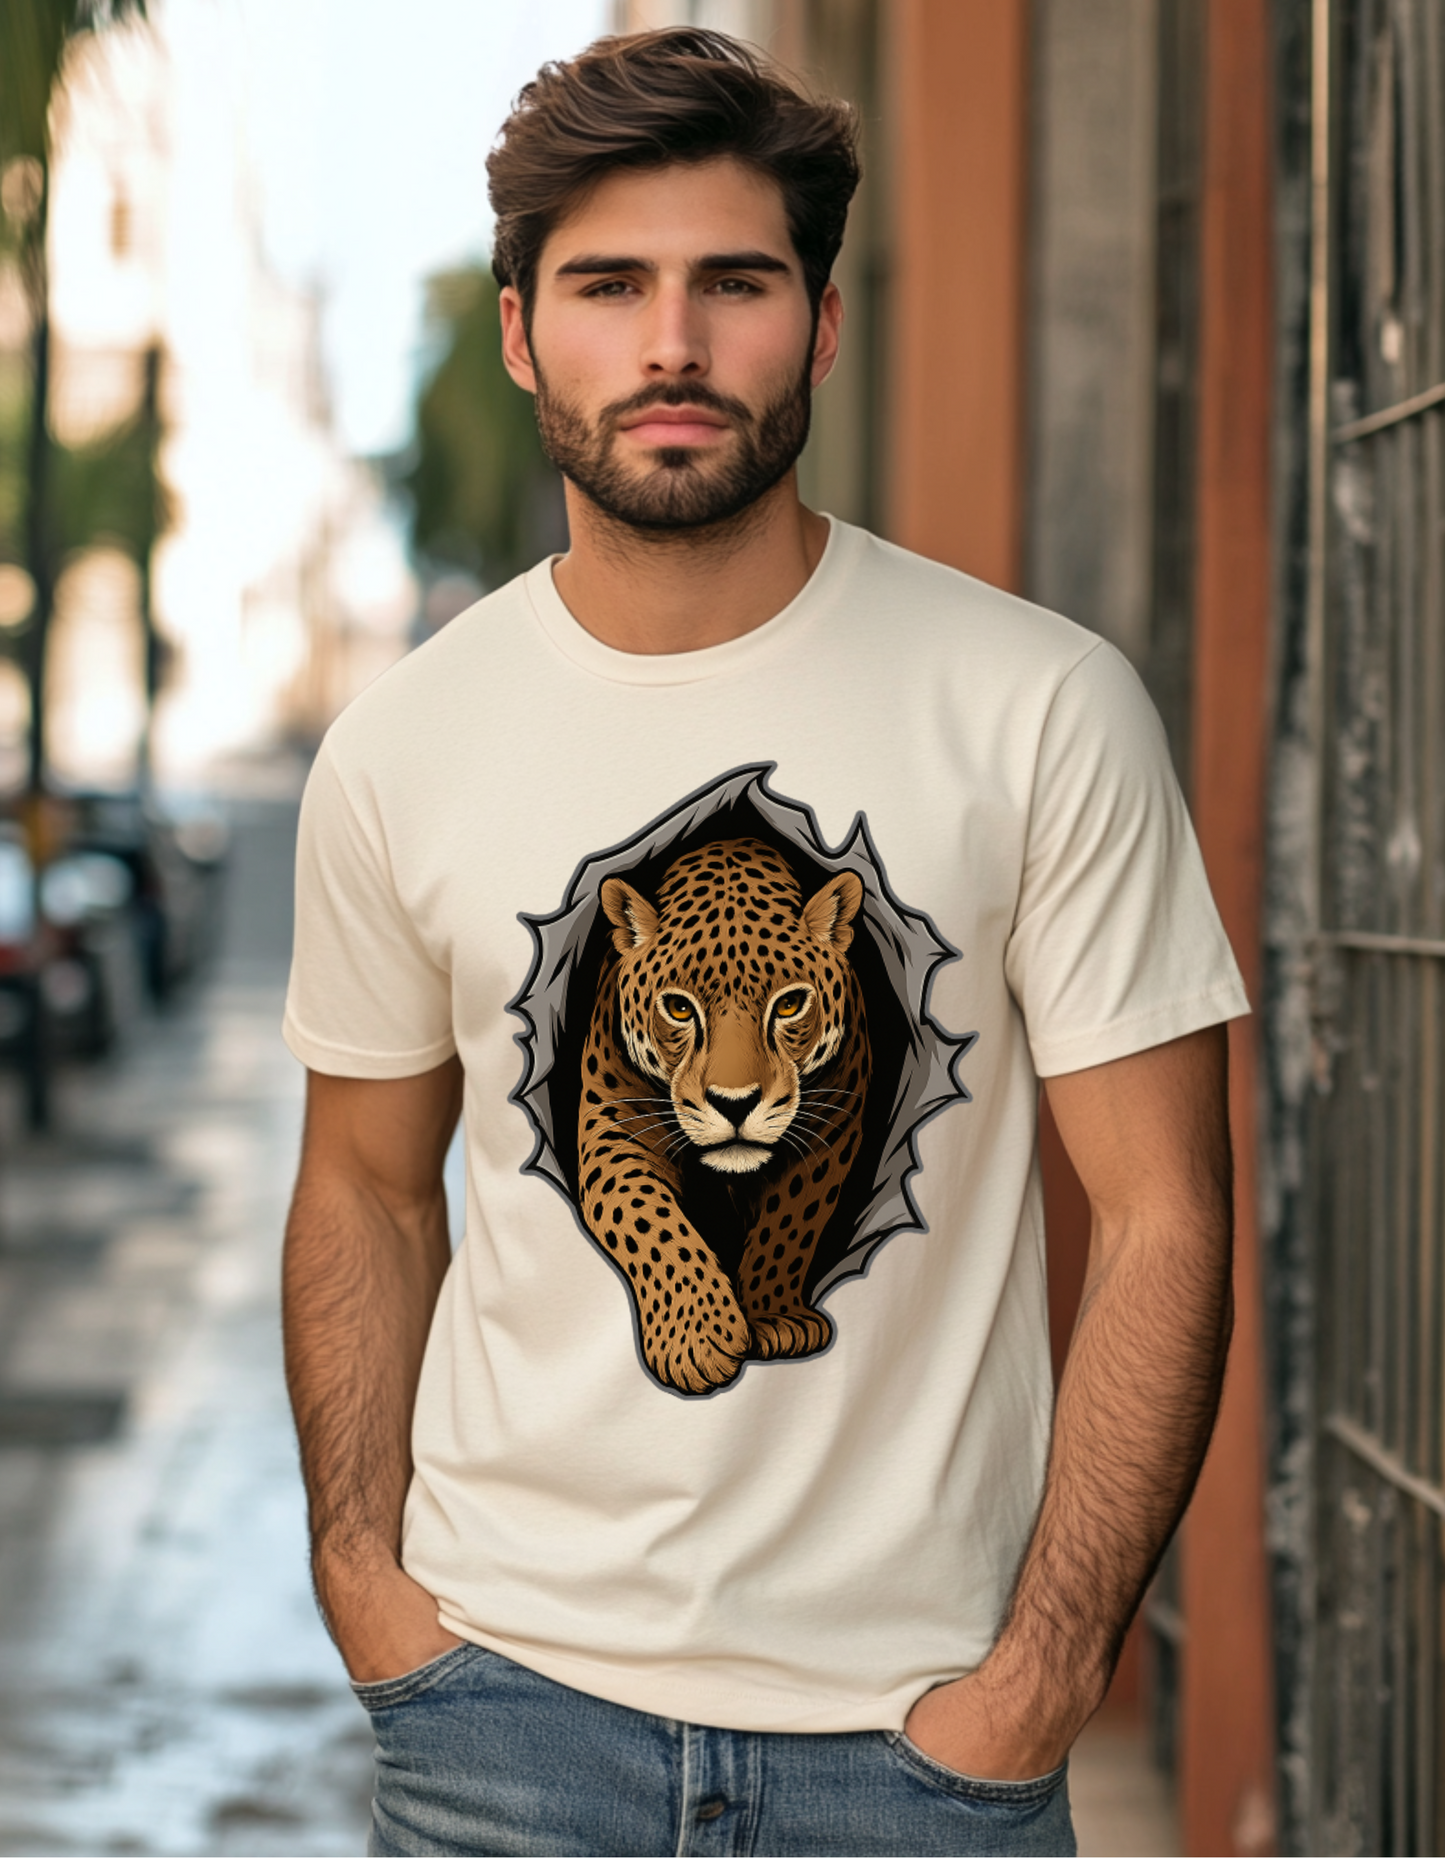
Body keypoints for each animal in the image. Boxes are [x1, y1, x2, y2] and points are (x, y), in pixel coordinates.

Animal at [577, 835, 871, 1395]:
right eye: (679, 1009)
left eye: (789, 1005)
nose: (735, 1103)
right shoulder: (613, 1130)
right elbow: (646, 1218)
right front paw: (696, 1338)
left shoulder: (831, 1126)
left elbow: (790, 1223)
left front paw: (775, 1318)